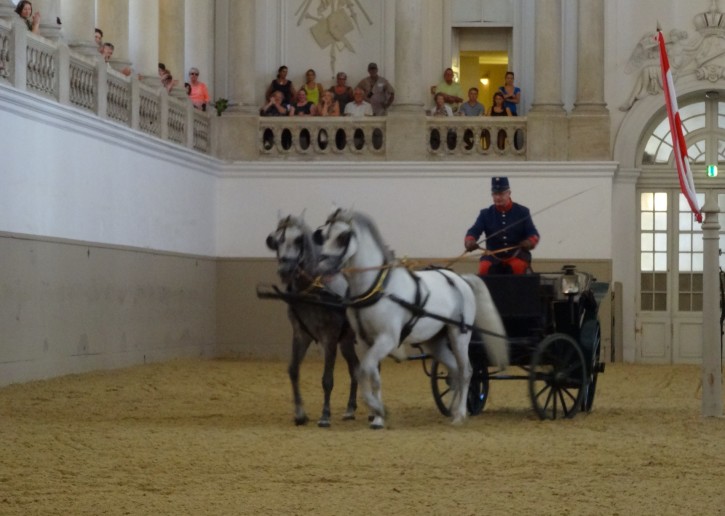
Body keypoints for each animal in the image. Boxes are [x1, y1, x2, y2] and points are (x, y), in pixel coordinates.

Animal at [314, 208, 506, 430]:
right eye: (324, 234)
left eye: (342, 237)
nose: (320, 267)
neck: (377, 288)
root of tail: (461, 279)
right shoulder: (365, 341)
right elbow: (372, 375)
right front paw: (378, 417)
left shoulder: (387, 339)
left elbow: (364, 370)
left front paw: (379, 410)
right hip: (435, 342)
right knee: (454, 371)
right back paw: (452, 409)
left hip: (459, 335)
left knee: (466, 371)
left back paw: (459, 415)